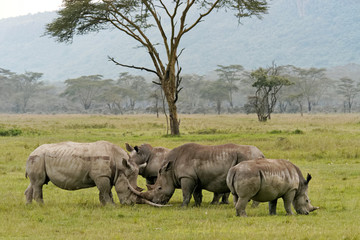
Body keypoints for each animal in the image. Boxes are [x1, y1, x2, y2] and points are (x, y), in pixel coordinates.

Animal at [24, 141, 162, 206]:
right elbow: (105, 191)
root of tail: (31, 152)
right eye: (129, 189)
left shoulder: (108, 175)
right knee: (38, 183)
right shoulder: (102, 176)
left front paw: (105, 205)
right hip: (38, 158)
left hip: (38, 158)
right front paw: (111, 206)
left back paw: (29, 206)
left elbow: (106, 191)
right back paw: (42, 206)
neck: (121, 165)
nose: (131, 204)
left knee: (34, 183)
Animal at [129, 142, 264, 206]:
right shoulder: (194, 178)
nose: (156, 203)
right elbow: (196, 194)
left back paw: (253, 206)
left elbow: (186, 193)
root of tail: (261, 153)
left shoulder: (186, 177)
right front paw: (196, 206)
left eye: (159, 188)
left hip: (248, 158)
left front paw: (183, 207)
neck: (170, 169)